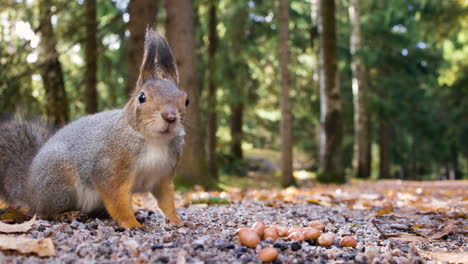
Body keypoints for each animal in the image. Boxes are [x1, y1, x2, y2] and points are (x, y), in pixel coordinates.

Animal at [0, 28, 186, 227]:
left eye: (186, 100)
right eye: (142, 97)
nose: (170, 117)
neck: (154, 140)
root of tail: (29, 189)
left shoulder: (162, 176)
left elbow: (166, 201)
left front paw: (177, 221)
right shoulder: (110, 167)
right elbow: (117, 200)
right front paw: (132, 224)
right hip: (59, 182)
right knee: (43, 212)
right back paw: (64, 215)